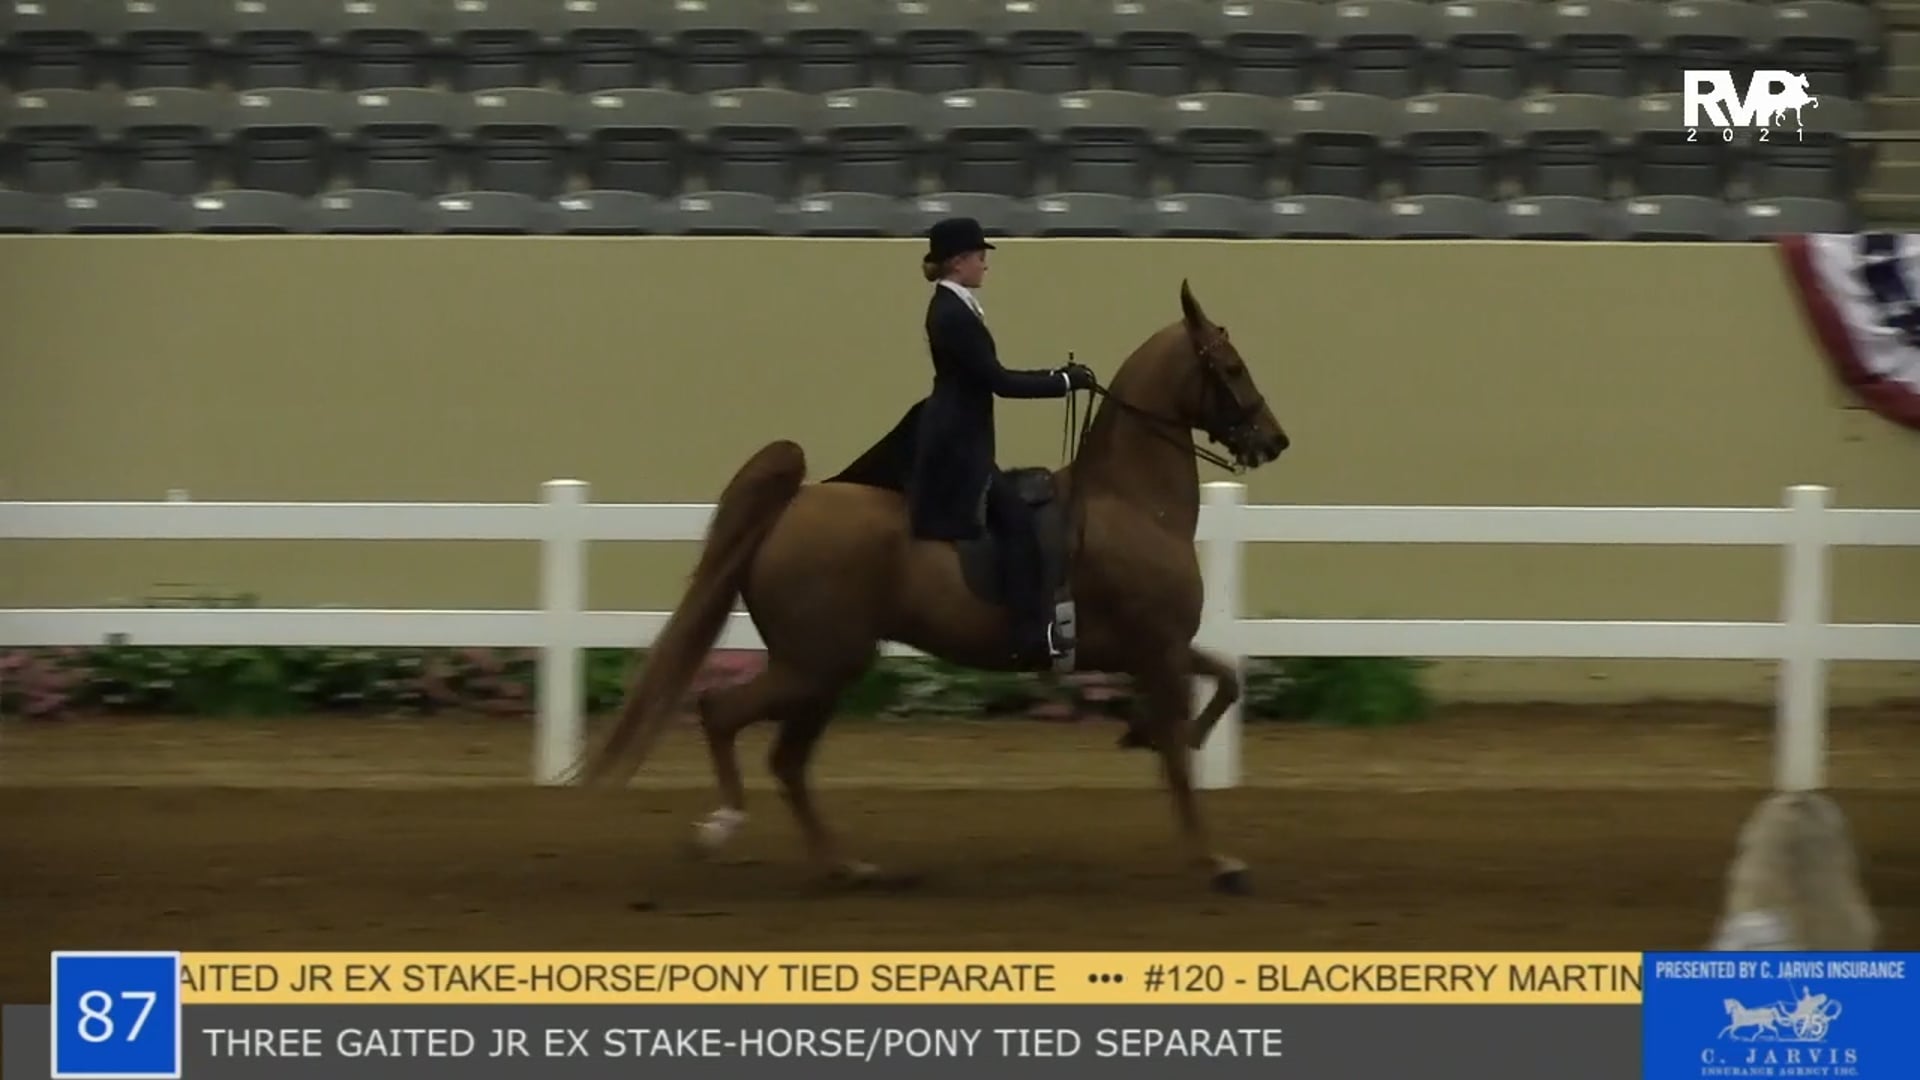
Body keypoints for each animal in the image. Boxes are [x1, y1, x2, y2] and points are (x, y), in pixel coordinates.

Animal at [570, 279, 1291, 894]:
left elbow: (1226, 680)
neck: (1133, 503)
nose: (1274, 441)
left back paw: (850, 867)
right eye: (1230, 366)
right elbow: (1182, 754)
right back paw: (721, 830)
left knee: (787, 760)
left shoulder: (1153, 648)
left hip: (825, 668)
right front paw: (1219, 861)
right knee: (726, 717)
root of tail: (795, 504)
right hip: (817, 664)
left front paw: (1144, 733)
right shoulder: (1157, 648)